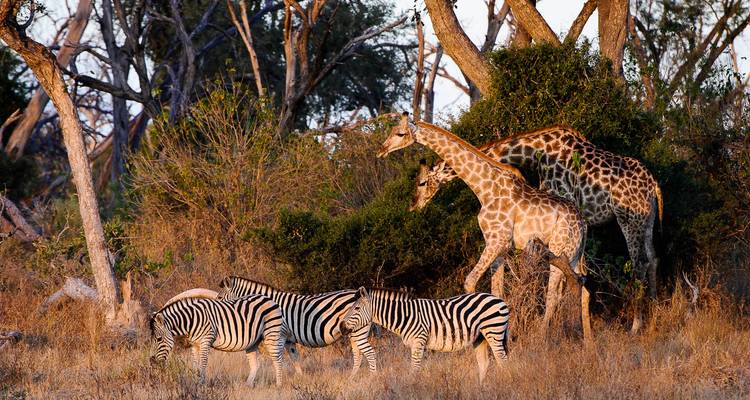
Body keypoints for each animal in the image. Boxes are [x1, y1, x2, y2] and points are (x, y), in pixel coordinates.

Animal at [149, 295, 287, 387]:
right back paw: (247, 386)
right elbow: (195, 364)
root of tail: (269, 298)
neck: (191, 320)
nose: (153, 362)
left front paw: (201, 384)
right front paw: (194, 383)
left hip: (272, 334)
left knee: (277, 359)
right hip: (253, 342)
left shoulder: (205, 341)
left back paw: (279, 386)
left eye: (159, 339)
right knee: (255, 364)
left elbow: (203, 363)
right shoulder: (194, 344)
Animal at [216, 276, 376, 375]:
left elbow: (279, 358)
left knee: (369, 353)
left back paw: (370, 377)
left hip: (358, 331)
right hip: (353, 332)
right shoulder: (289, 339)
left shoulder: (279, 335)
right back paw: (352, 378)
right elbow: (295, 359)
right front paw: (301, 380)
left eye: (219, 297)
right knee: (358, 355)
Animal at [339, 288, 510, 383]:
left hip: (493, 331)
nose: (341, 327)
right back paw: (480, 388)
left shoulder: (419, 341)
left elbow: (414, 369)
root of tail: (498, 299)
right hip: (480, 338)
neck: (405, 316)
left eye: (356, 308)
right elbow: (415, 368)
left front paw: (412, 387)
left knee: (502, 361)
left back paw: (503, 385)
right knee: (484, 363)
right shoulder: (414, 344)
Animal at [378, 113, 592, 340]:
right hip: (574, 254)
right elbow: (498, 292)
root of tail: (583, 224)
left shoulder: (497, 240)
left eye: (400, 133)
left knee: (554, 294)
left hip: (560, 248)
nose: (381, 150)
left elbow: (470, 282)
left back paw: (544, 338)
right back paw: (586, 342)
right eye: (391, 131)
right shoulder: (500, 247)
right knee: (581, 285)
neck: (485, 187)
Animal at [411, 125, 663, 333]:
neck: (535, 154)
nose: (415, 206)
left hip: (629, 218)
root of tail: (654, 185)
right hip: (647, 220)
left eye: (421, 183)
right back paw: (653, 314)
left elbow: (559, 281)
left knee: (639, 262)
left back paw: (636, 325)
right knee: (653, 258)